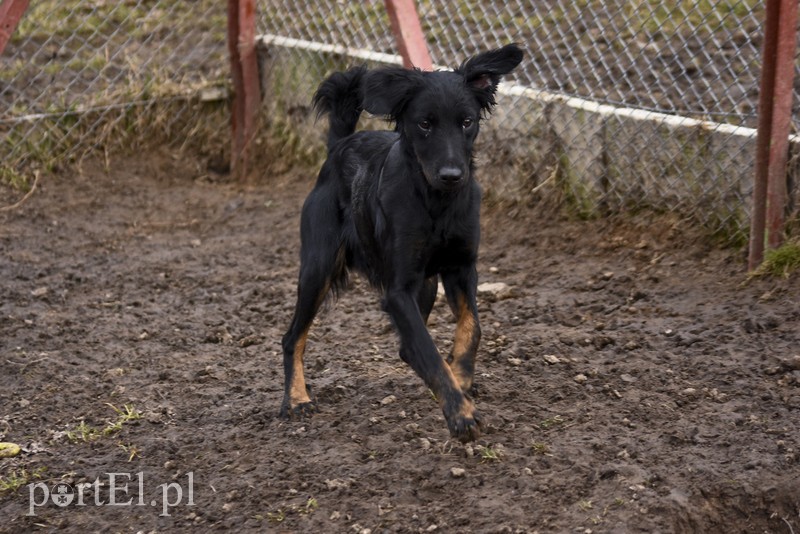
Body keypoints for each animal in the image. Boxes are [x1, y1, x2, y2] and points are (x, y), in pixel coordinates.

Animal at [282, 44, 524, 444]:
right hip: (318, 268)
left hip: (426, 283)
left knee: (406, 347)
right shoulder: (397, 290)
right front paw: (460, 414)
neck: (437, 203)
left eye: (467, 122)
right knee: (293, 337)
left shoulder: (461, 268)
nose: (452, 176)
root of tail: (340, 145)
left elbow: (471, 328)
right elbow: (428, 349)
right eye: (424, 124)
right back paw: (297, 399)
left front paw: (461, 379)